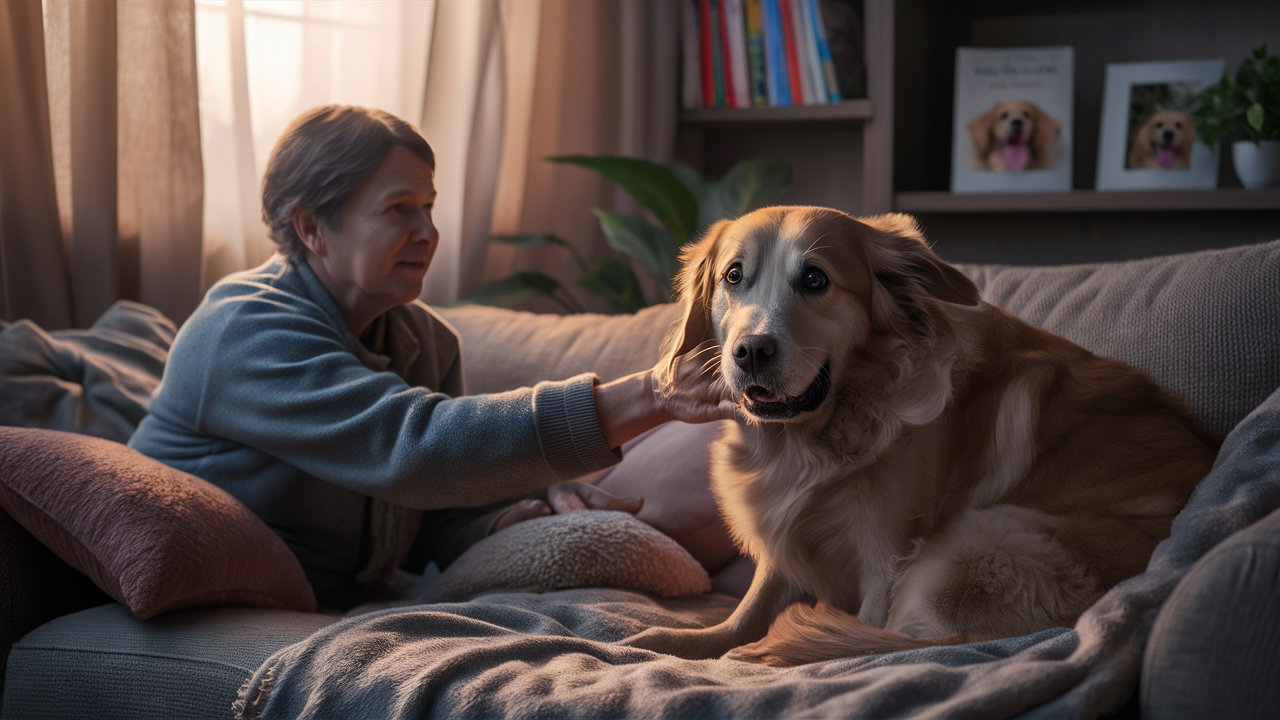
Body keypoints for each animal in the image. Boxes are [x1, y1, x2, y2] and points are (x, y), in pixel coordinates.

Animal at [627, 204, 1218, 666]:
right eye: (733, 277)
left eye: (815, 279)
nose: (750, 352)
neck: (812, 439)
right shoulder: (784, 534)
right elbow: (750, 605)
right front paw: (680, 641)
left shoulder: (885, 559)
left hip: (972, 542)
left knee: (888, 642)